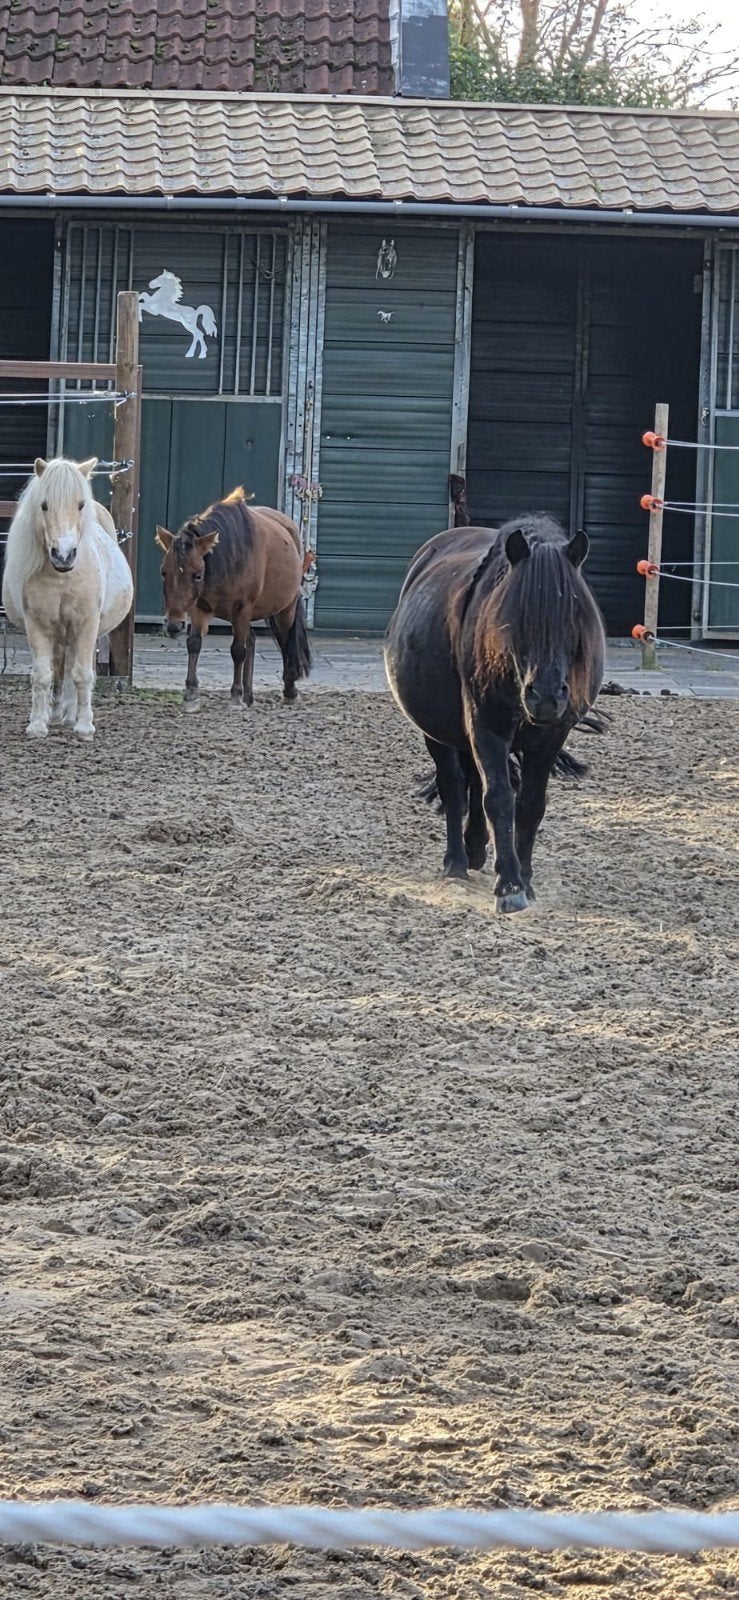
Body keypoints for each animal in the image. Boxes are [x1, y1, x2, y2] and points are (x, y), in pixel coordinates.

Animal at [2, 456, 134, 740]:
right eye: (44, 505)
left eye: (80, 505)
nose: (63, 555)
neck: (62, 577)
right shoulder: (38, 626)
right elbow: (42, 675)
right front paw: (37, 725)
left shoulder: (86, 625)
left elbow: (83, 674)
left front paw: (84, 727)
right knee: (60, 668)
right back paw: (56, 714)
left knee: (76, 669)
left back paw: (71, 716)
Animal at [155, 487, 312, 710]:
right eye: (164, 572)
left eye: (197, 575)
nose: (173, 625)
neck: (227, 557)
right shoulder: (199, 608)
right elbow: (194, 643)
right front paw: (191, 693)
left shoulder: (242, 608)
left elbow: (238, 650)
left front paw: (235, 696)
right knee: (252, 639)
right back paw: (249, 694)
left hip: (284, 608)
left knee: (286, 640)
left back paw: (289, 689)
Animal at [384, 514, 606, 914]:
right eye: (517, 618)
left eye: (574, 619)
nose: (545, 696)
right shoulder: (488, 726)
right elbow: (498, 797)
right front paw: (509, 886)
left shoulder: (551, 735)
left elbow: (530, 804)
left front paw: (526, 880)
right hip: (437, 732)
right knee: (454, 786)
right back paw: (457, 860)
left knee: (473, 780)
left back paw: (474, 848)